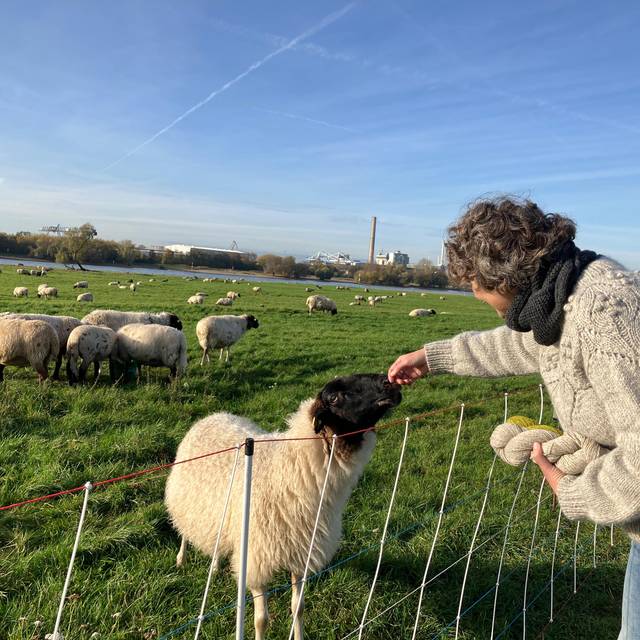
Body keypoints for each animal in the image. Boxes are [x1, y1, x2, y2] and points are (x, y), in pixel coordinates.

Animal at [165, 373, 402, 640]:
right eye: (334, 397)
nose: (390, 384)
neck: (287, 470)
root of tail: (213, 415)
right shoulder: (256, 560)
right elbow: (261, 620)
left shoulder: (300, 552)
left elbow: (298, 608)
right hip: (187, 500)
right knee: (185, 530)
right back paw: (181, 559)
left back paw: (214, 566)